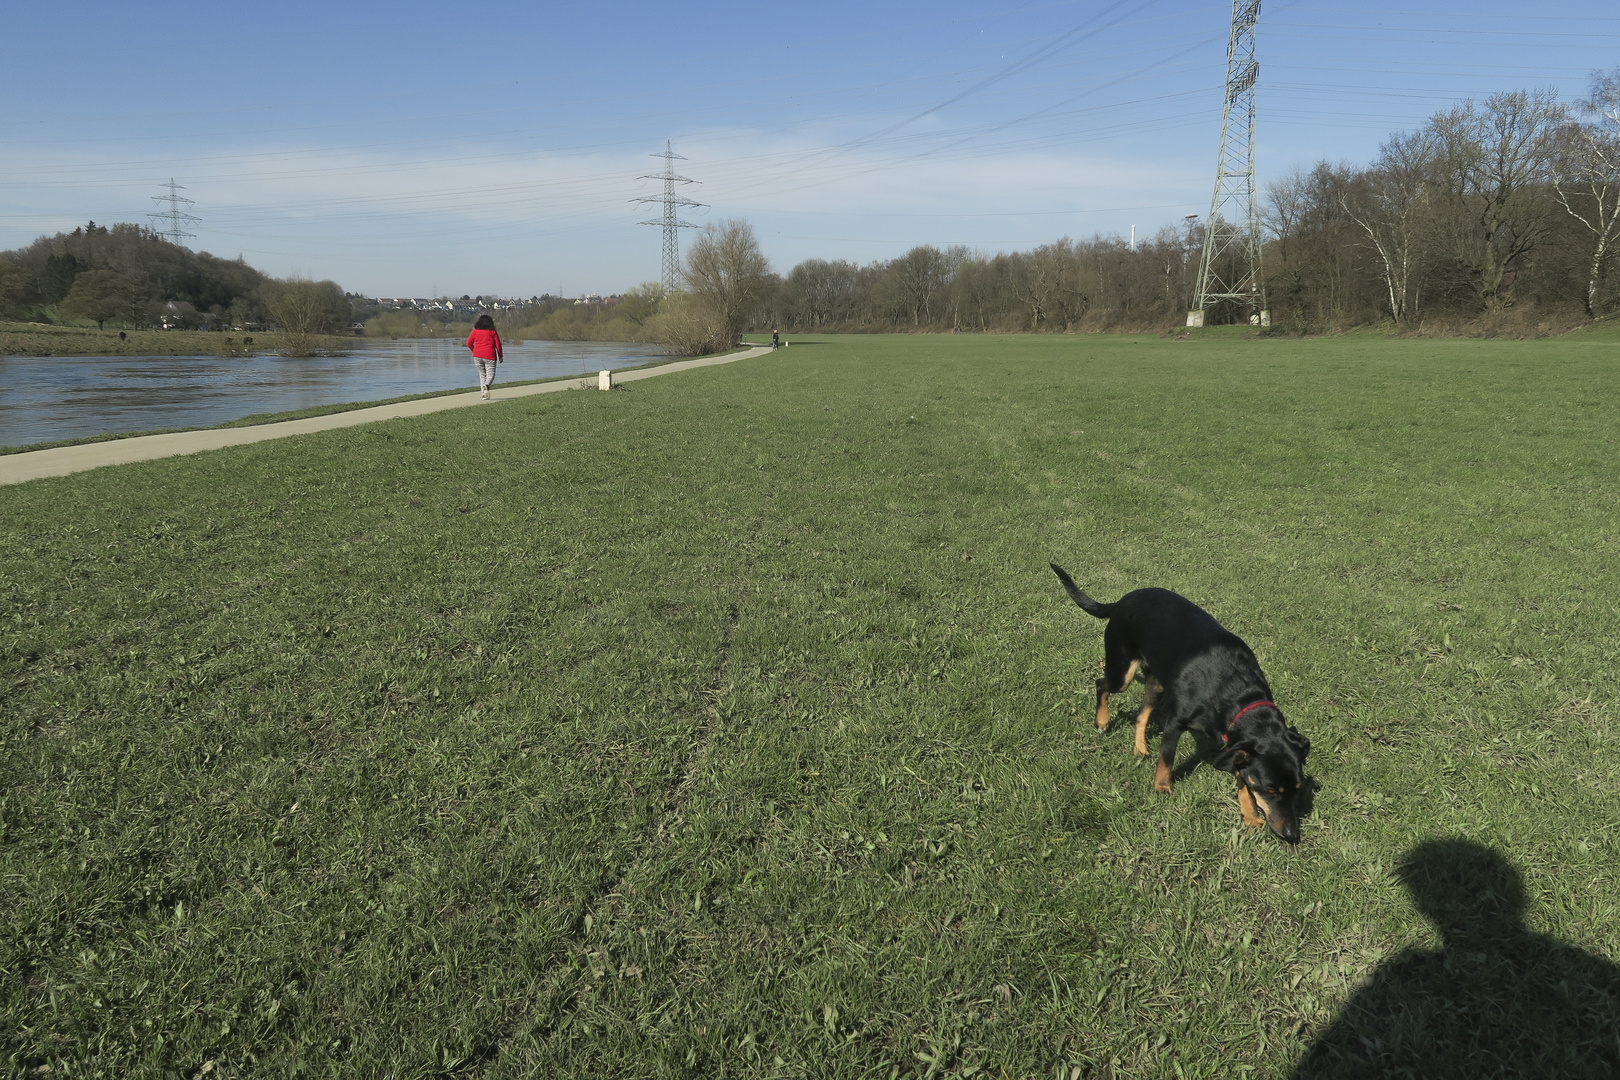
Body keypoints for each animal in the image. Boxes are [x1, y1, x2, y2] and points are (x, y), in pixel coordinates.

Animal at [1049, 566, 1315, 841]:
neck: (1238, 694)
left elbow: (1242, 777)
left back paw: (1140, 747)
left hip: (1156, 682)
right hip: (1122, 670)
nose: (1291, 834)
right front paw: (1162, 788)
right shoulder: (1175, 722)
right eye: (1270, 790)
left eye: (1297, 788)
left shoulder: (1237, 743)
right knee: (1101, 684)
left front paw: (1250, 814)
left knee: (1141, 713)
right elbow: (1167, 758)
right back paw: (1102, 721)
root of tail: (1121, 601)